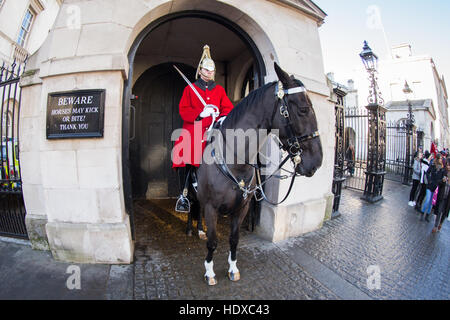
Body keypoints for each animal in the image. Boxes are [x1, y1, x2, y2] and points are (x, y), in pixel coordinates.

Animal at [192, 62, 322, 284]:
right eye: (304, 109)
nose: (317, 161)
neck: (235, 161)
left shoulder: (242, 208)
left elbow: (234, 239)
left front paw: (233, 268)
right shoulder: (211, 207)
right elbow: (213, 241)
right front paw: (209, 272)